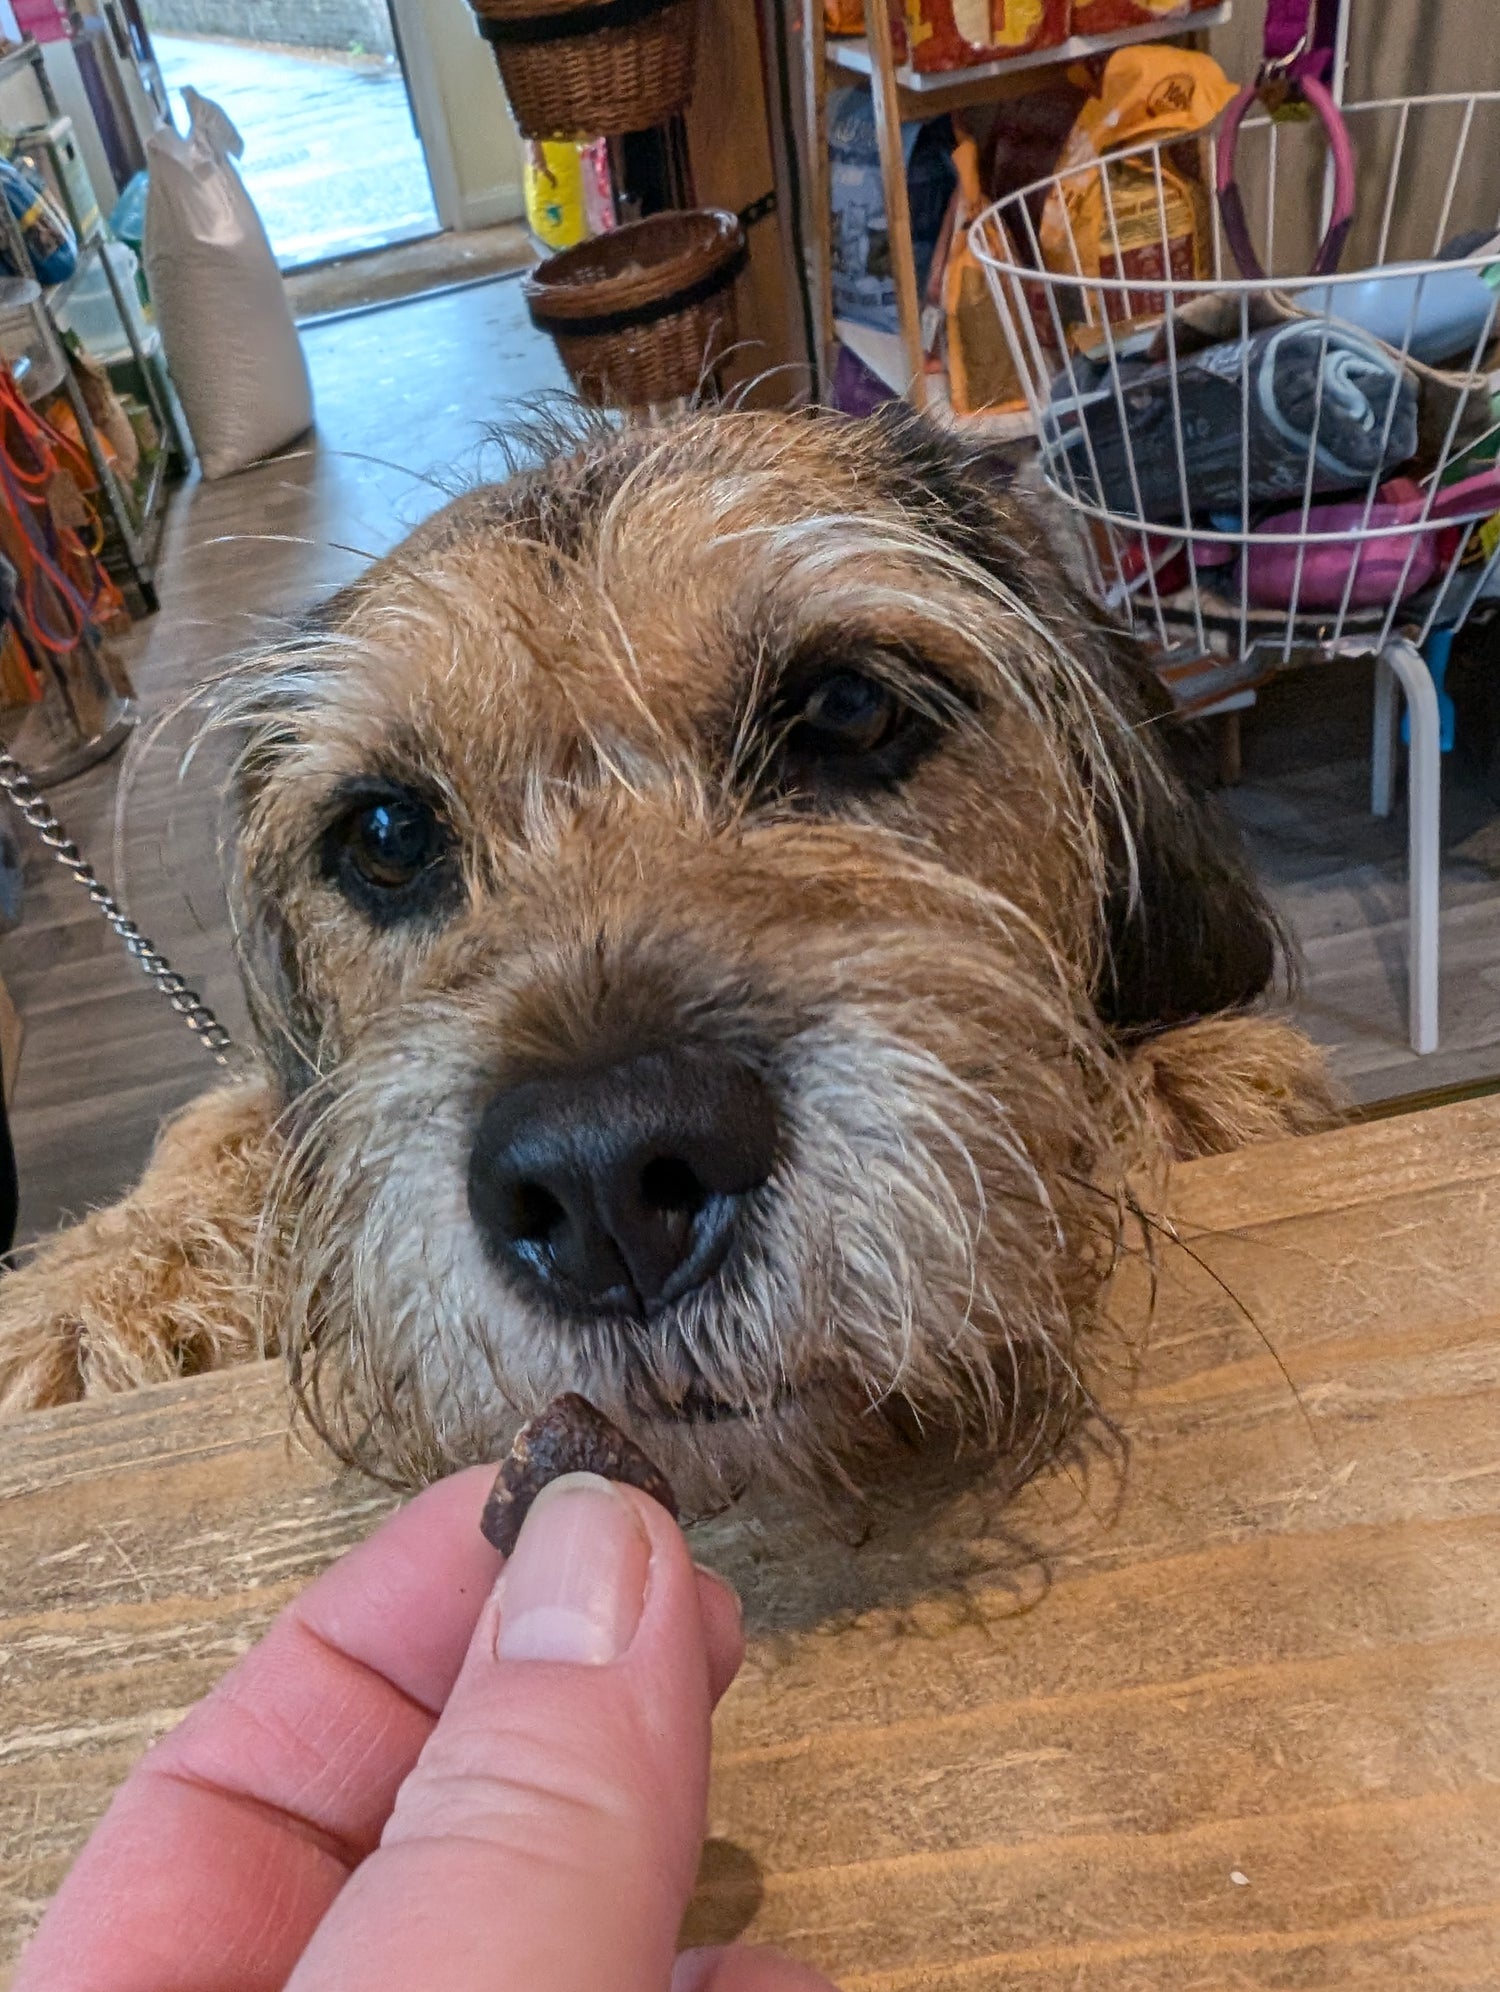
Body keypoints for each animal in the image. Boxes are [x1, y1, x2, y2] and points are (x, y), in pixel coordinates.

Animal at [0, 408, 1330, 1521]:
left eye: (848, 708)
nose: (603, 1182)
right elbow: (227, 1125)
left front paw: (1187, 1091)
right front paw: (113, 1288)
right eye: (385, 834)